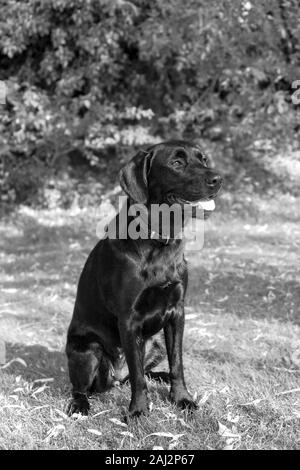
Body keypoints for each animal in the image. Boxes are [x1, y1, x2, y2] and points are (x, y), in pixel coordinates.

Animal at [65, 140, 221, 418]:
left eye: (203, 159)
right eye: (177, 163)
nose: (218, 179)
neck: (159, 238)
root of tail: (115, 379)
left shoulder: (177, 312)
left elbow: (177, 364)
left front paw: (182, 398)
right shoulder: (129, 319)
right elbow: (138, 375)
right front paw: (138, 411)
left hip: (155, 342)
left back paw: (160, 377)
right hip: (87, 349)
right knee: (84, 387)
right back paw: (80, 405)